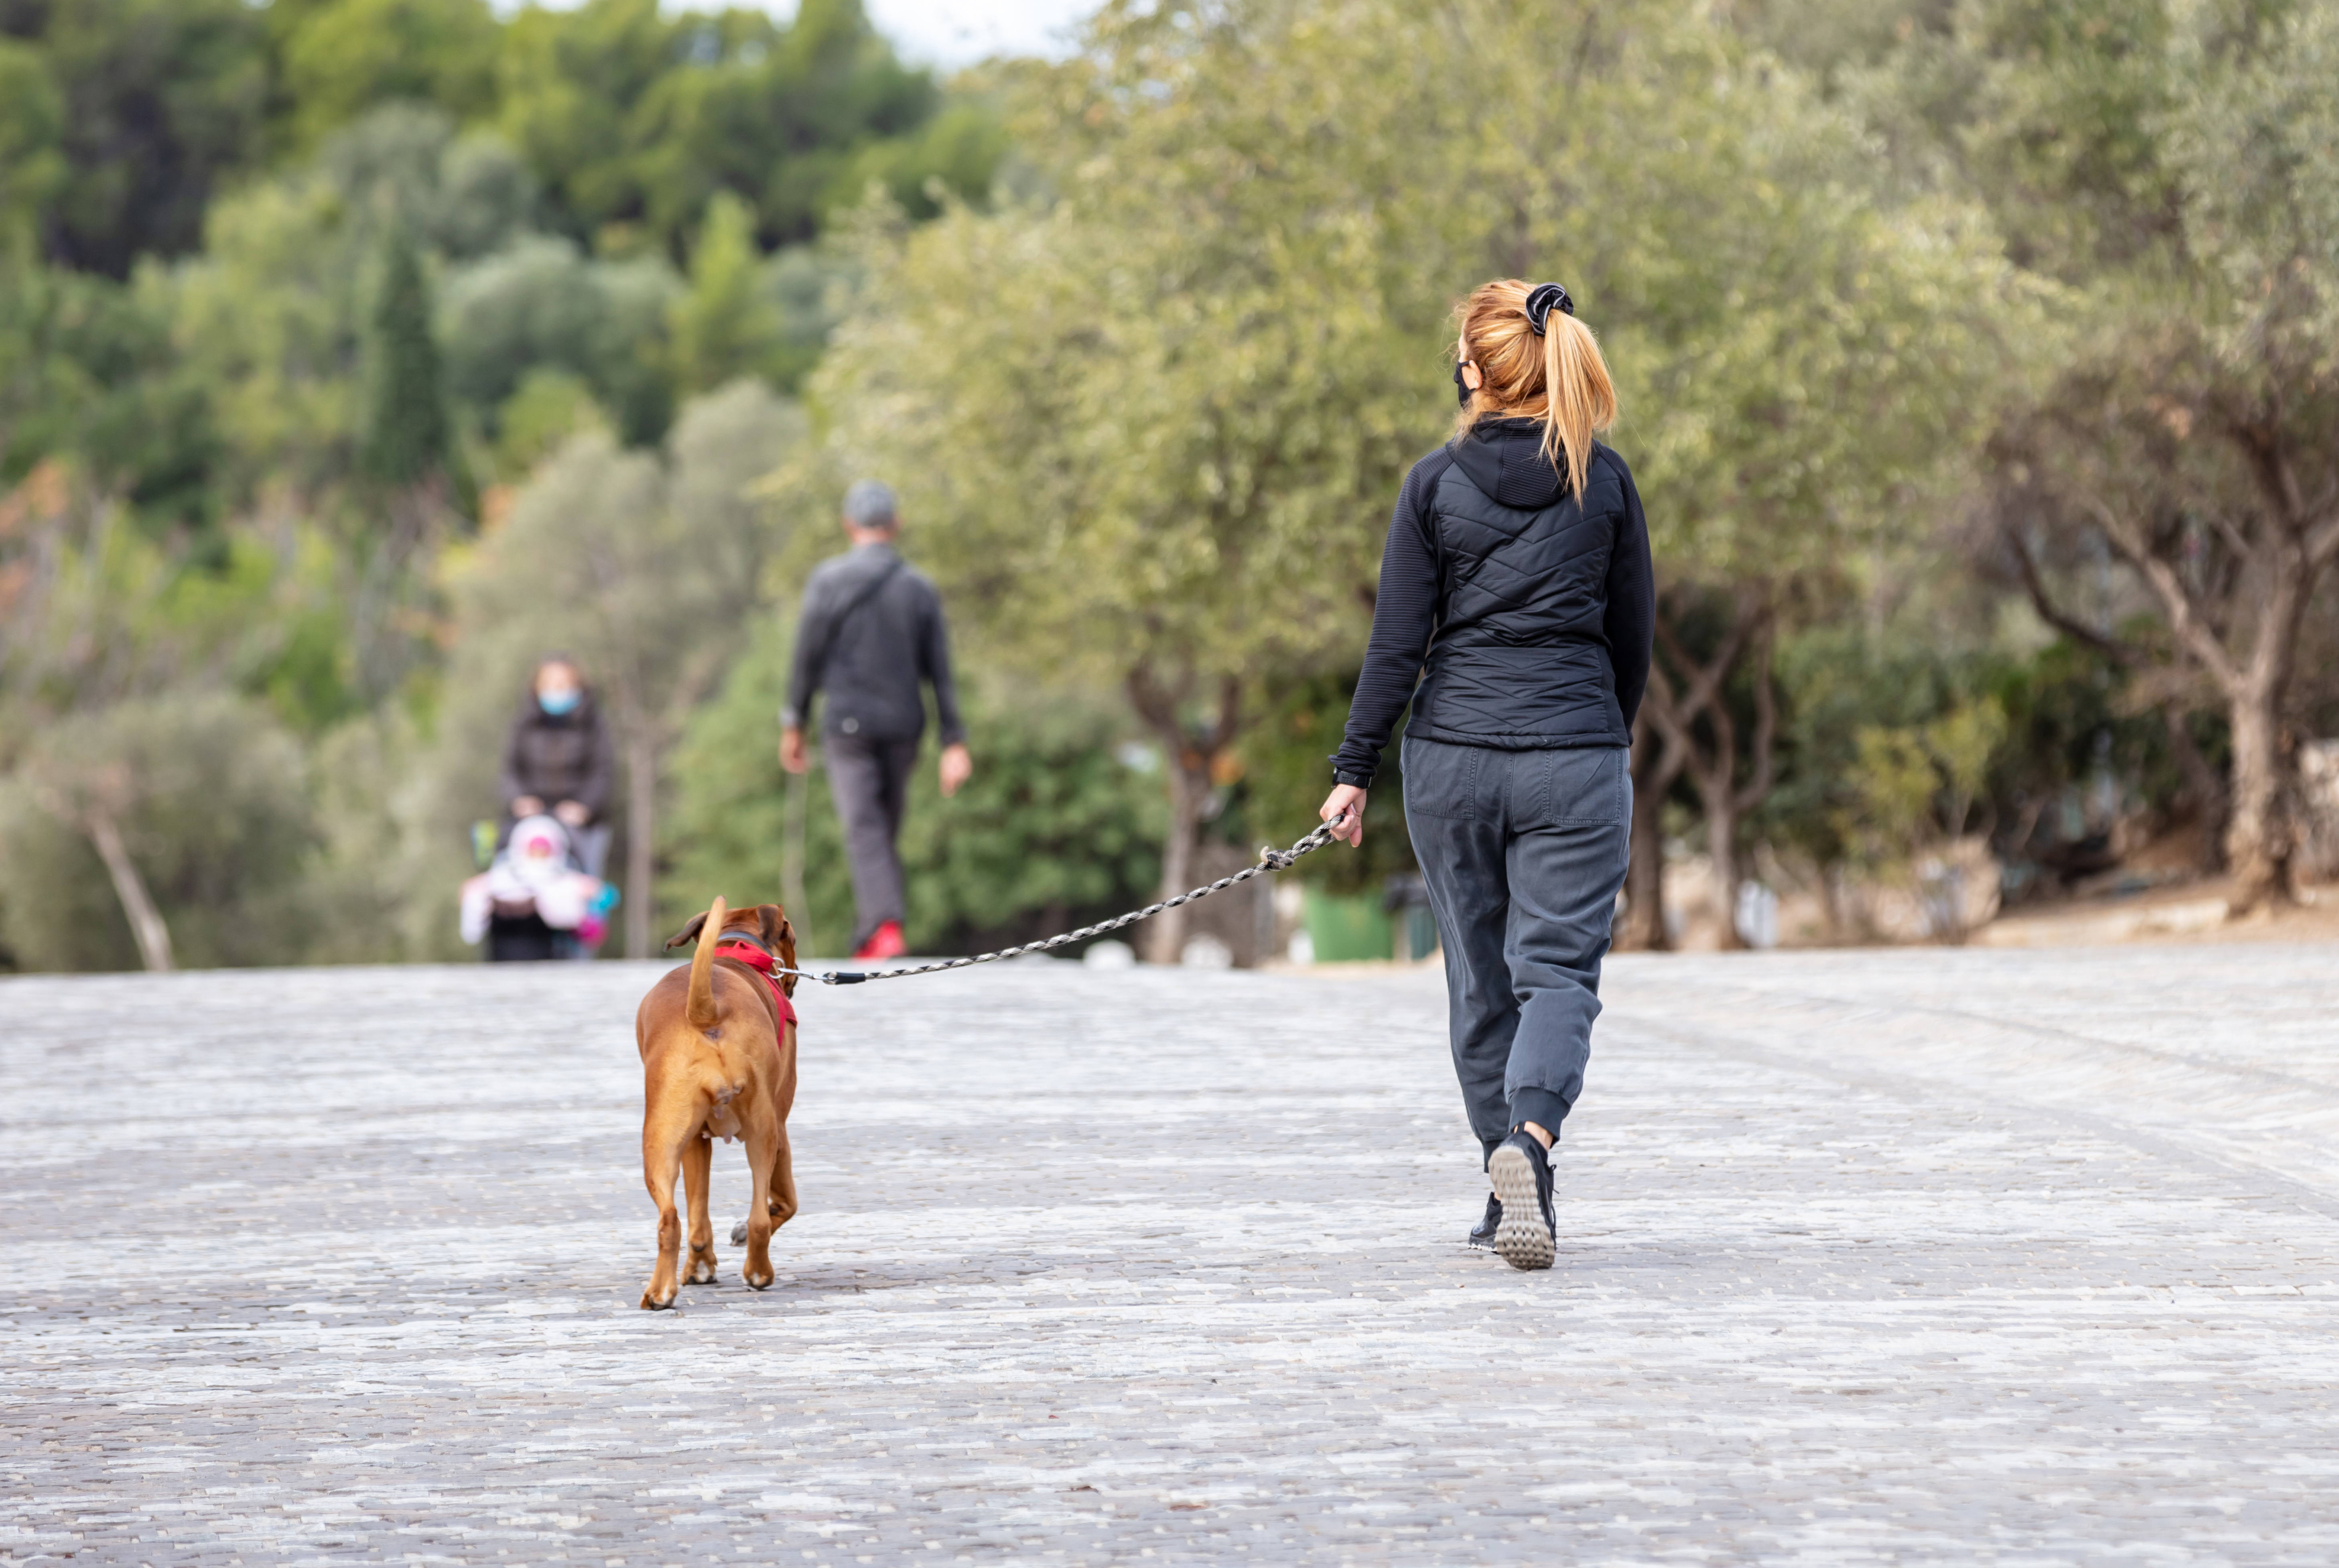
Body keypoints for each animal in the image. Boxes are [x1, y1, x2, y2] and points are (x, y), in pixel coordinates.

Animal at [636, 898, 800, 1310]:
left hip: (662, 1142)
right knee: (760, 1218)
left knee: (672, 1219)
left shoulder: (696, 1141)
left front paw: (700, 1268)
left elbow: (699, 1216)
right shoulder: (782, 1130)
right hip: (766, 1135)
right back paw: (758, 1272)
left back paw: (662, 1292)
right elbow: (786, 1204)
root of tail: (706, 1010)